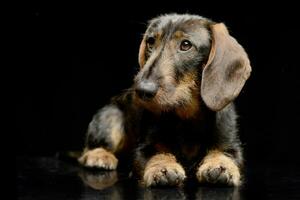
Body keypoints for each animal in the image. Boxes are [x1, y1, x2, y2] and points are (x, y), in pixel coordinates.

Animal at [78, 13, 252, 187]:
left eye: (186, 45)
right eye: (150, 41)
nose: (142, 90)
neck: (187, 115)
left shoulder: (232, 146)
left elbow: (227, 154)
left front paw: (220, 164)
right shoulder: (144, 148)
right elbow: (156, 153)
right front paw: (163, 167)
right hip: (110, 116)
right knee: (88, 150)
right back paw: (99, 155)